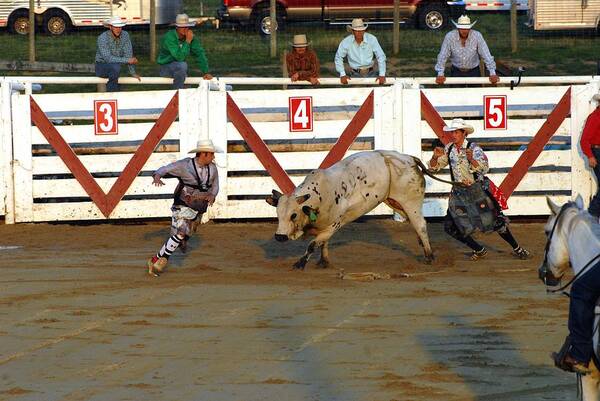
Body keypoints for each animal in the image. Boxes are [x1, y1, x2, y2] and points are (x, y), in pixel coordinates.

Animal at [264, 150, 448, 268]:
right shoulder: (325, 226)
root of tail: (409, 158)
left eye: (293, 215)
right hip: (395, 202)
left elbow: (313, 244)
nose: (279, 236)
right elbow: (322, 243)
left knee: (421, 225)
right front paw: (323, 262)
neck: (321, 194)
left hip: (411, 202)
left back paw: (429, 256)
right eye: (278, 214)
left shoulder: (333, 225)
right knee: (414, 224)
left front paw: (299, 264)